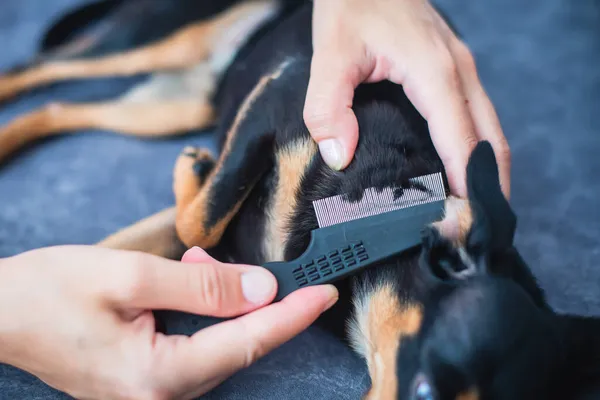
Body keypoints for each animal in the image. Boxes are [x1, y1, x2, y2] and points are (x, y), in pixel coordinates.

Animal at [1, 0, 600, 400]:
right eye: (424, 391)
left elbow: (148, 238)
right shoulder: (276, 105)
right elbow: (203, 220)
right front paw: (195, 172)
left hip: (172, 105)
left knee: (58, 108)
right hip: (162, 41)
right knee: (38, 69)